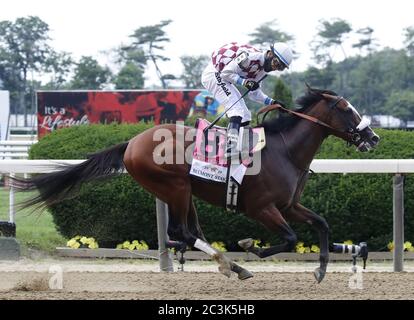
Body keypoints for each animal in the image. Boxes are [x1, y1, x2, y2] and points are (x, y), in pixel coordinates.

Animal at [12, 85, 378, 282]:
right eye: (347, 110)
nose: (372, 137)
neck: (285, 151)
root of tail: (131, 143)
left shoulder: (289, 205)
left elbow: (322, 224)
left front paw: (322, 270)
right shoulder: (261, 208)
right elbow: (289, 238)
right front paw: (250, 245)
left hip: (182, 191)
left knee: (189, 232)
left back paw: (228, 264)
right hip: (174, 187)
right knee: (182, 232)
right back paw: (233, 264)